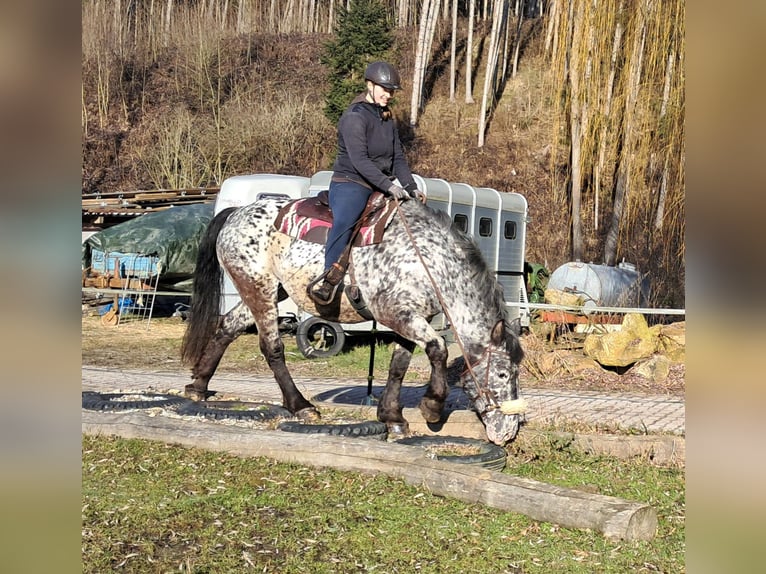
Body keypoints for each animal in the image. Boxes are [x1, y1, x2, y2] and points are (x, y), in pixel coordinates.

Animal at [181, 194, 528, 446]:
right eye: (502, 375)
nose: (511, 430)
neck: (428, 260)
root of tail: (237, 212)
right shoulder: (396, 313)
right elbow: (438, 349)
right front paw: (431, 406)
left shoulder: (409, 318)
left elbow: (398, 366)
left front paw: (392, 417)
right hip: (260, 288)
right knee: (271, 347)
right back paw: (300, 405)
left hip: (266, 289)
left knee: (227, 327)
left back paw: (198, 386)